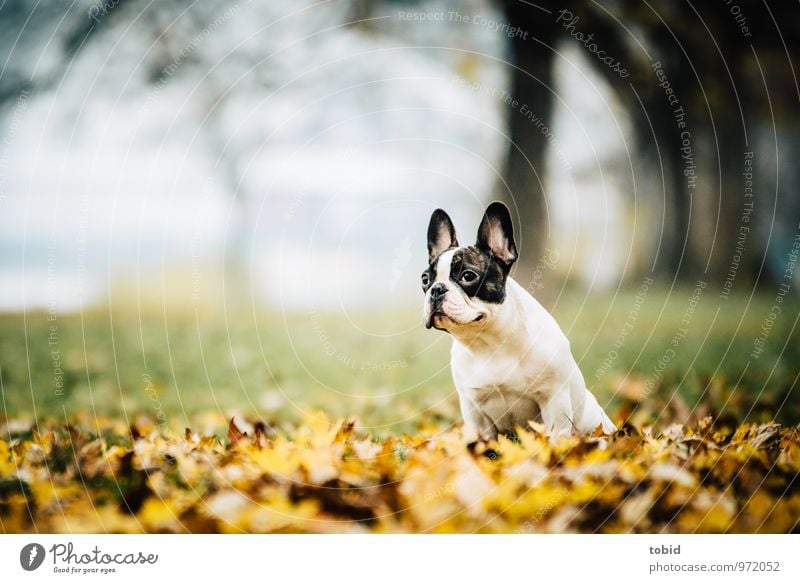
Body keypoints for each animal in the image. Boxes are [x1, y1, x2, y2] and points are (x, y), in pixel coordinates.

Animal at [422, 202, 616, 442]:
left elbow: (555, 438)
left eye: (468, 276)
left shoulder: (554, 400)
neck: (490, 342)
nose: (436, 289)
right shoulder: (474, 411)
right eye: (425, 280)